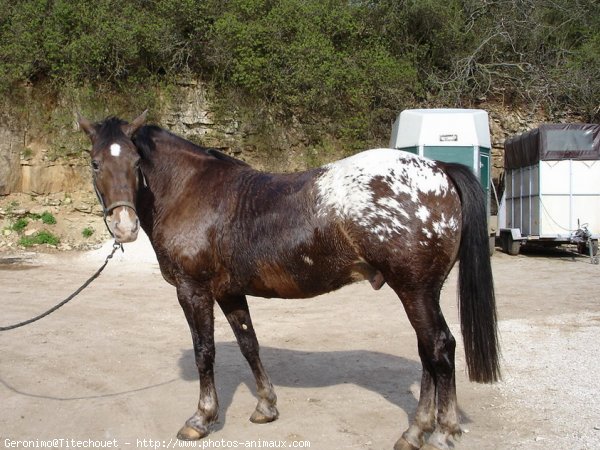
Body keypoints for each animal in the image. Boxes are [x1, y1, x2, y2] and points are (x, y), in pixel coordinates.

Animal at [78, 111, 502, 450]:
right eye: (96, 163)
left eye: (136, 162)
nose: (124, 226)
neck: (190, 190)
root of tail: (439, 169)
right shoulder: (229, 292)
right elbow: (249, 344)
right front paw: (266, 406)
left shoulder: (193, 291)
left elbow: (205, 352)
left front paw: (201, 419)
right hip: (423, 292)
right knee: (428, 352)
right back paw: (416, 431)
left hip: (415, 290)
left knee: (440, 348)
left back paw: (443, 432)